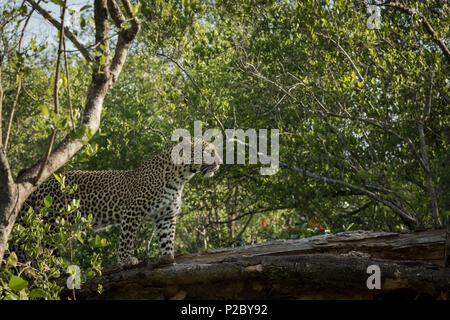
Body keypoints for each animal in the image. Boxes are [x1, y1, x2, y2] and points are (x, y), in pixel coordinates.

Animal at [14, 136, 222, 266]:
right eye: (208, 151)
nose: (220, 163)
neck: (180, 178)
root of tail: (40, 183)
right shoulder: (132, 211)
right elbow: (126, 239)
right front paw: (126, 261)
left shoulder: (166, 216)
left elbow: (167, 238)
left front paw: (168, 257)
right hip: (52, 222)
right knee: (40, 248)